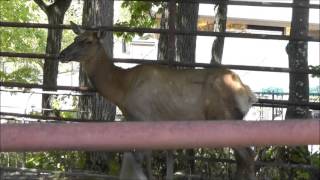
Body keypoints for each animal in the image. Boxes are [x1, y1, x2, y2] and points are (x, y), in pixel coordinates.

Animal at [58, 22, 258, 180]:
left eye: (88, 41)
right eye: (76, 38)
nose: (62, 54)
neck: (122, 89)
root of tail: (247, 93)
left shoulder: (143, 117)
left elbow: (145, 160)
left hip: (226, 117)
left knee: (249, 156)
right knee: (242, 160)